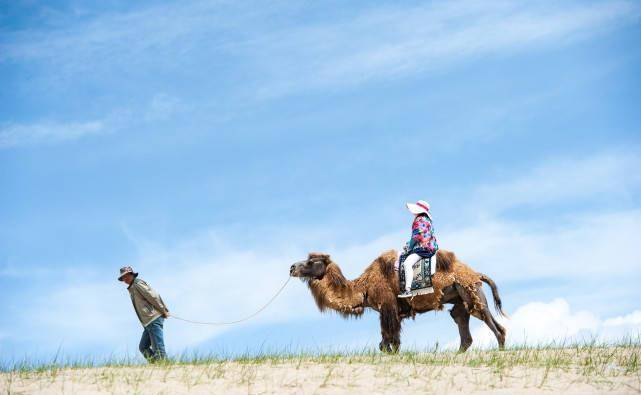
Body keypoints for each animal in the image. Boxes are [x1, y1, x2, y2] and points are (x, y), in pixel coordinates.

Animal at [288, 251, 504, 352]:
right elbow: (389, 342)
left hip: (470, 292)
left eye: (310, 262)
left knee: (493, 324)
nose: (292, 267)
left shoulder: (387, 307)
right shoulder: (393, 313)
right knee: (463, 326)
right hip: (460, 300)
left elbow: (388, 342)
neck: (364, 288)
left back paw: (501, 350)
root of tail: (477, 274)